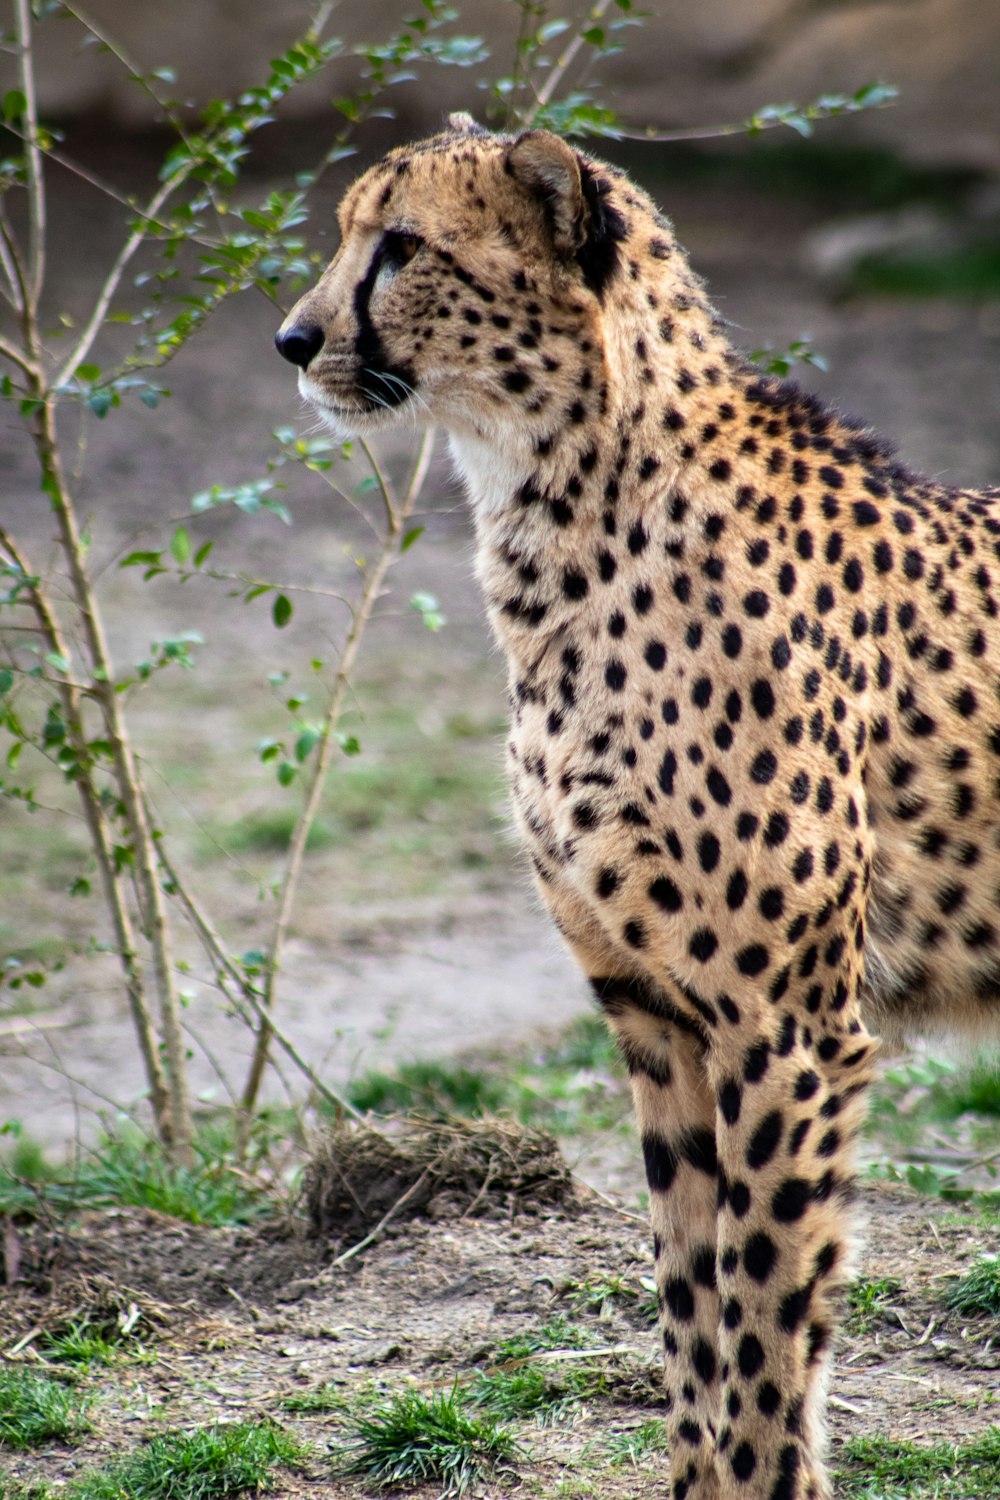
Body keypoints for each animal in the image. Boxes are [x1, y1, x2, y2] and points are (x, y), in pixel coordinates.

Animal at [277, 120, 1000, 1500]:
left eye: (402, 246)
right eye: (347, 236)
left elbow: (766, 1328)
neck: (560, 512)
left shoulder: (788, 1033)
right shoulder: (655, 1018)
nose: (293, 340)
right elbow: (693, 1318)